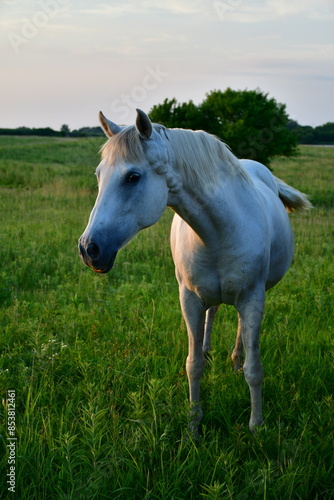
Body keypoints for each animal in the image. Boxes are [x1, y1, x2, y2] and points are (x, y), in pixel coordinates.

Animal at [77, 109, 310, 434]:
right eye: (99, 175)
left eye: (133, 177)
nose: (89, 248)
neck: (219, 229)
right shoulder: (189, 299)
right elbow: (193, 363)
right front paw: (194, 425)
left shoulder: (253, 297)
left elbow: (254, 368)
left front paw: (256, 426)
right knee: (214, 313)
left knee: (240, 328)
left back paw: (235, 360)